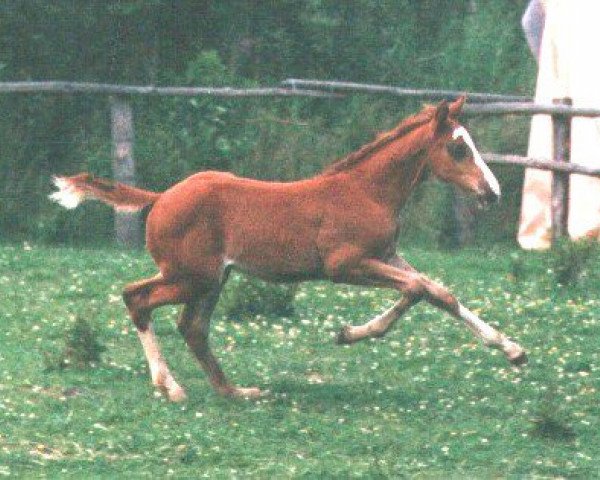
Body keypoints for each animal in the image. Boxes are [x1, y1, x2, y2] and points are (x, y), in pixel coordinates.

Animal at [54, 96, 528, 402]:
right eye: (458, 148)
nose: (493, 193)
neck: (367, 191)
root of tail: (161, 196)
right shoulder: (346, 264)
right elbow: (416, 289)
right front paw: (350, 334)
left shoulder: (386, 256)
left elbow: (437, 291)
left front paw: (513, 350)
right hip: (193, 276)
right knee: (137, 298)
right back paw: (171, 387)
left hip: (210, 278)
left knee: (192, 326)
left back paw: (236, 391)